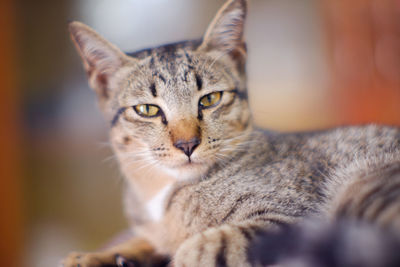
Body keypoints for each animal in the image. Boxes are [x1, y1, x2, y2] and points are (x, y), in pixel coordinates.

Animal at [61, 0, 400, 267]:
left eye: (210, 99)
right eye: (148, 109)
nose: (187, 144)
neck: (163, 195)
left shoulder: (289, 218)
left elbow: (205, 247)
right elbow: (145, 242)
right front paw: (98, 255)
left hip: (363, 185)